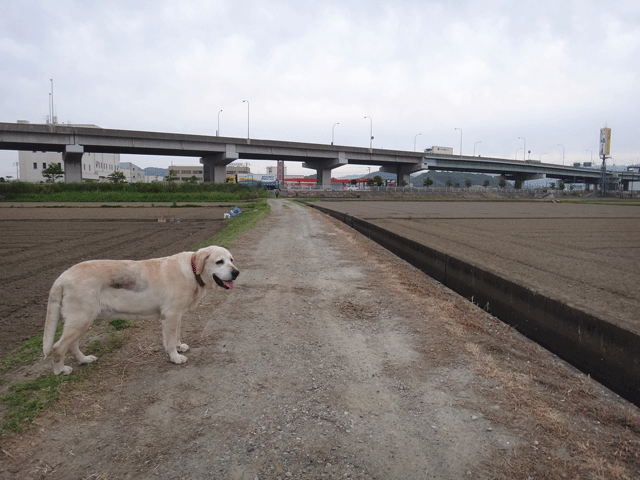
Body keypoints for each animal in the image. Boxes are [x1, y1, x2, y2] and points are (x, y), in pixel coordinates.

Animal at [43, 244, 238, 376]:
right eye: (219, 262)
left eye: (231, 260)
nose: (236, 272)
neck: (192, 270)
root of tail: (62, 277)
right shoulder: (171, 316)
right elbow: (169, 340)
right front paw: (175, 357)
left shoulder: (177, 316)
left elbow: (176, 335)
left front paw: (179, 347)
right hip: (81, 319)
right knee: (58, 347)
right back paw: (61, 370)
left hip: (80, 321)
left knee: (71, 345)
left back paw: (84, 360)